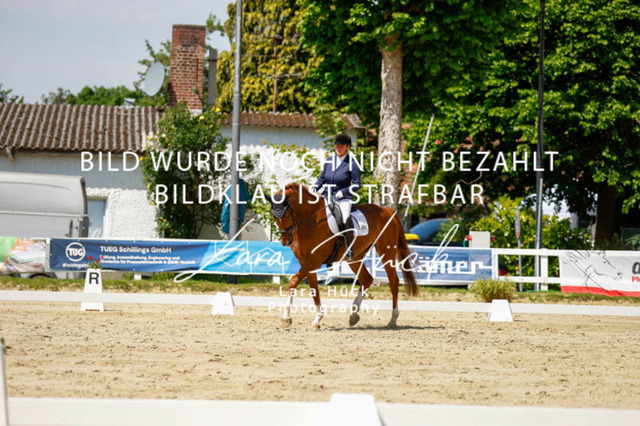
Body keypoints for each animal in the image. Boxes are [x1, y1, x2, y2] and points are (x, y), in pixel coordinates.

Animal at [266, 183, 419, 329]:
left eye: (286, 215)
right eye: (274, 217)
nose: (286, 241)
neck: (310, 220)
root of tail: (387, 210)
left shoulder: (314, 261)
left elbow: (293, 281)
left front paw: (286, 318)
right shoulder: (305, 262)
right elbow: (314, 288)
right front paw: (317, 319)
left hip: (386, 252)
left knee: (393, 281)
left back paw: (393, 319)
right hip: (355, 258)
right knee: (367, 279)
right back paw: (353, 315)